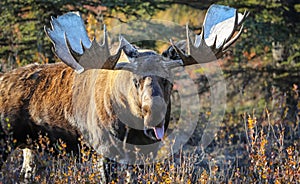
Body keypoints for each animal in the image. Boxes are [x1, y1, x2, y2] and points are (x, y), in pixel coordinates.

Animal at [0, 3, 247, 181]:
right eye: (135, 81)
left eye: (168, 80)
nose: (154, 115)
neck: (132, 128)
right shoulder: (104, 151)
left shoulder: (146, 152)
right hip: (5, 141)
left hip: (30, 148)